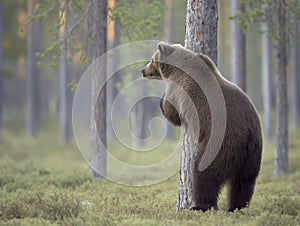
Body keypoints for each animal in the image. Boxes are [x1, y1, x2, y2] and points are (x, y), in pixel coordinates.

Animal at [142, 42, 262, 212]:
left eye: (152, 60)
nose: (143, 71)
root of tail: (249, 135)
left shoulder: (179, 91)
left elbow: (173, 113)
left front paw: (161, 101)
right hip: (253, 155)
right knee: (244, 182)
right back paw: (237, 207)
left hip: (221, 144)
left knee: (205, 173)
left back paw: (200, 205)